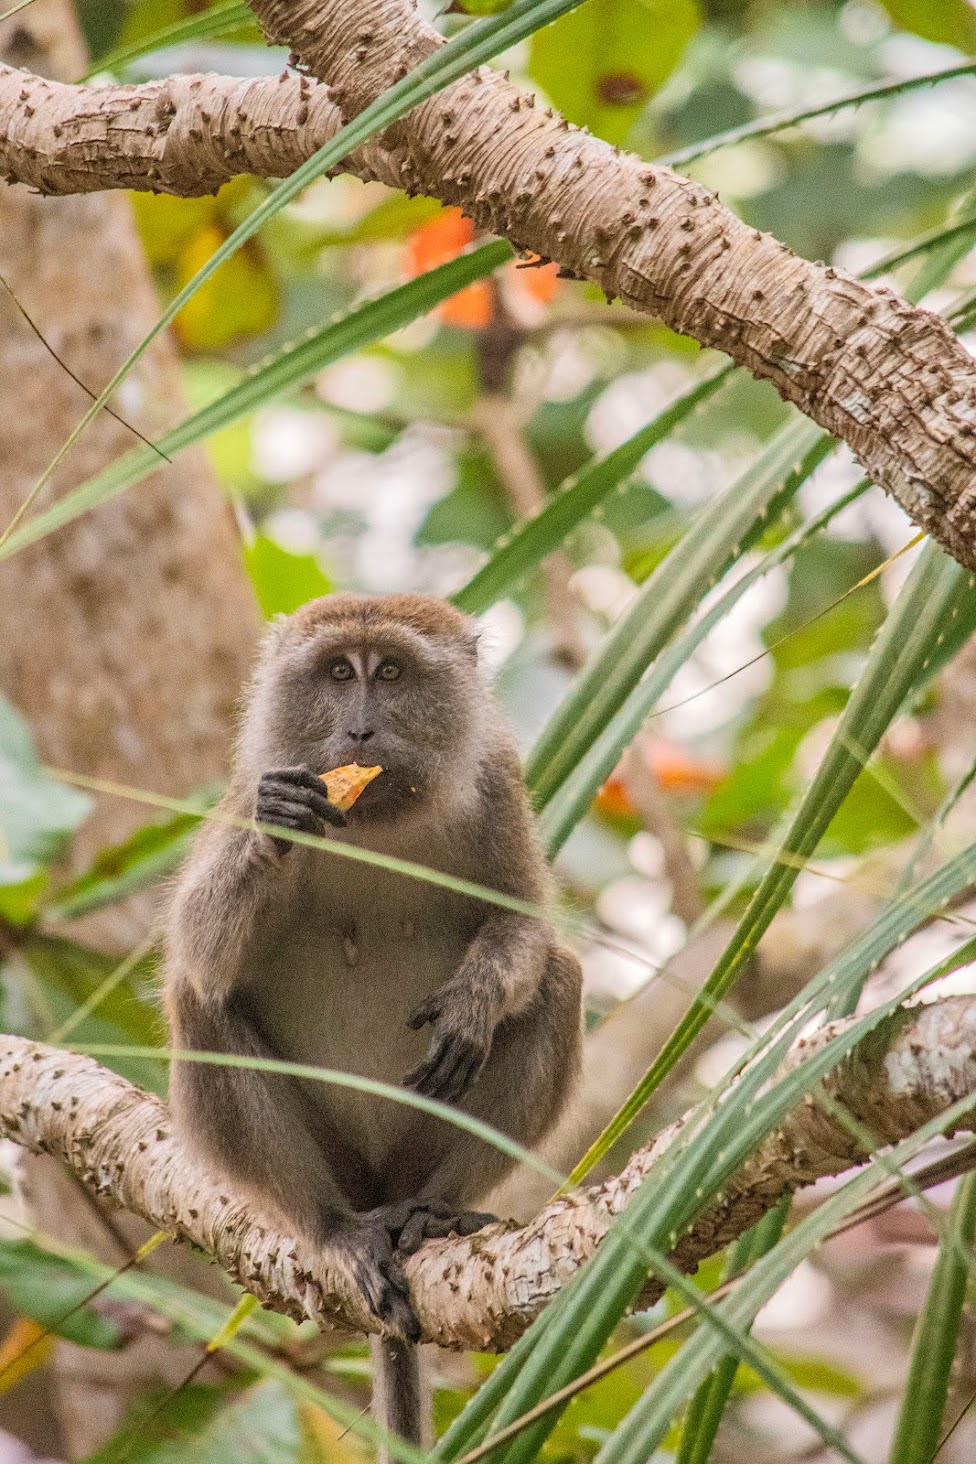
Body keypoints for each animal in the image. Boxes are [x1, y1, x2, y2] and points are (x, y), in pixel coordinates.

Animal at [163, 591, 585, 1452]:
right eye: (336, 674)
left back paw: (436, 1211)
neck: (381, 815)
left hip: (414, 1149)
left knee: (559, 981)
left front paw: (474, 1003)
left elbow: (522, 922)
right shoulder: (255, 776)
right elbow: (200, 950)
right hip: (340, 1164)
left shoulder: (497, 780)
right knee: (199, 998)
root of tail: (379, 1189)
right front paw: (276, 829)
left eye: (389, 673)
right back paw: (336, 1230)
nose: (358, 731)